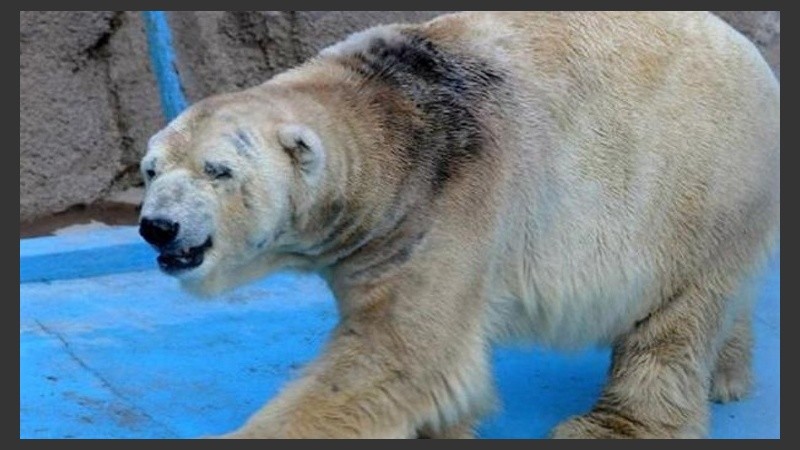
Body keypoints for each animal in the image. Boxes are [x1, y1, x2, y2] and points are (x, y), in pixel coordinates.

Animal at [138, 11, 780, 438]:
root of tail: (754, 55)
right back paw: (728, 375)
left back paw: (613, 425)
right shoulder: (380, 234)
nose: (158, 227)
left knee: (676, 317)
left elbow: (401, 356)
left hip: (700, 186)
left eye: (217, 170)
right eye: (151, 169)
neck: (393, 120)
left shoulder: (450, 203)